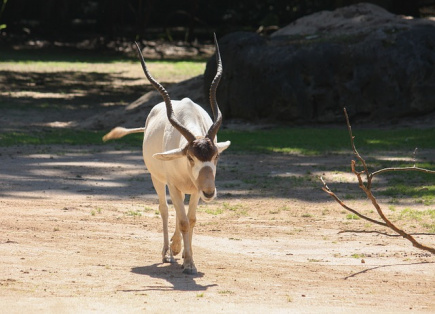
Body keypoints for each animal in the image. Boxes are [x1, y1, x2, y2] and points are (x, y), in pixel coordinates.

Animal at [102, 35, 232, 274]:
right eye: (190, 157)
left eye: (216, 156)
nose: (210, 192)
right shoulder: (174, 185)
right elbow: (181, 220)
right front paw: (185, 261)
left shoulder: (196, 189)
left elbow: (190, 219)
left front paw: (187, 258)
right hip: (158, 180)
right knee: (164, 209)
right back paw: (167, 253)